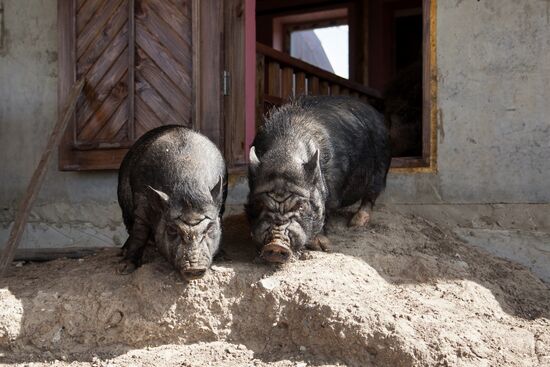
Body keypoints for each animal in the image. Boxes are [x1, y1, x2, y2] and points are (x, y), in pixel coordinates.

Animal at [117, 125, 227, 280]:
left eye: (209, 229)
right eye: (172, 230)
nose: (195, 268)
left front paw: (222, 256)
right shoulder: (141, 200)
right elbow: (139, 232)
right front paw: (124, 269)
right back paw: (123, 252)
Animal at [246, 96, 392, 264]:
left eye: (301, 206)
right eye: (259, 204)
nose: (276, 245)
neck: (284, 156)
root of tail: (377, 114)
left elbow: (325, 213)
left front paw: (324, 247)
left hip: (381, 167)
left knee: (371, 195)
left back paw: (356, 224)